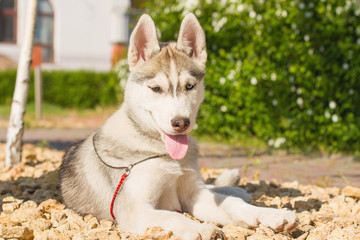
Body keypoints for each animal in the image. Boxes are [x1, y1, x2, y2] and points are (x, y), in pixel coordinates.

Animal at [59, 13, 298, 240]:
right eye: (156, 88)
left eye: (190, 86)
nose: (181, 122)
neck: (163, 153)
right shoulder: (134, 210)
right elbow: (171, 216)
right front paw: (200, 229)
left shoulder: (193, 194)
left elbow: (231, 204)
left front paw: (272, 215)